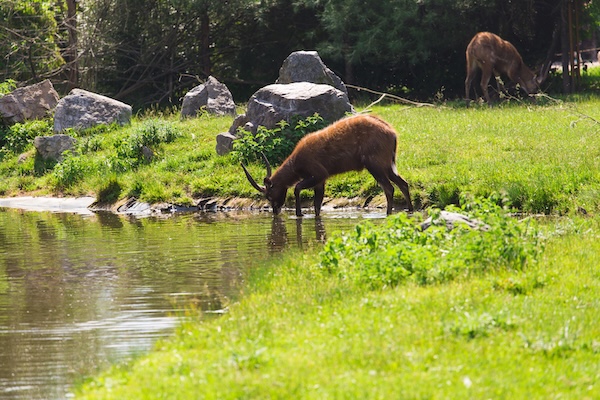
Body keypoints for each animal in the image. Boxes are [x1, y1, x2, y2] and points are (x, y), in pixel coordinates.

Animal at [239, 114, 412, 217]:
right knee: (403, 183)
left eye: (268, 194)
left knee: (389, 188)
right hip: (386, 165)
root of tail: (393, 134)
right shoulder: (321, 180)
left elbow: (297, 188)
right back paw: (409, 210)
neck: (296, 164)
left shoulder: (319, 174)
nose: (275, 211)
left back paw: (389, 213)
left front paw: (299, 214)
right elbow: (317, 205)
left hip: (375, 164)